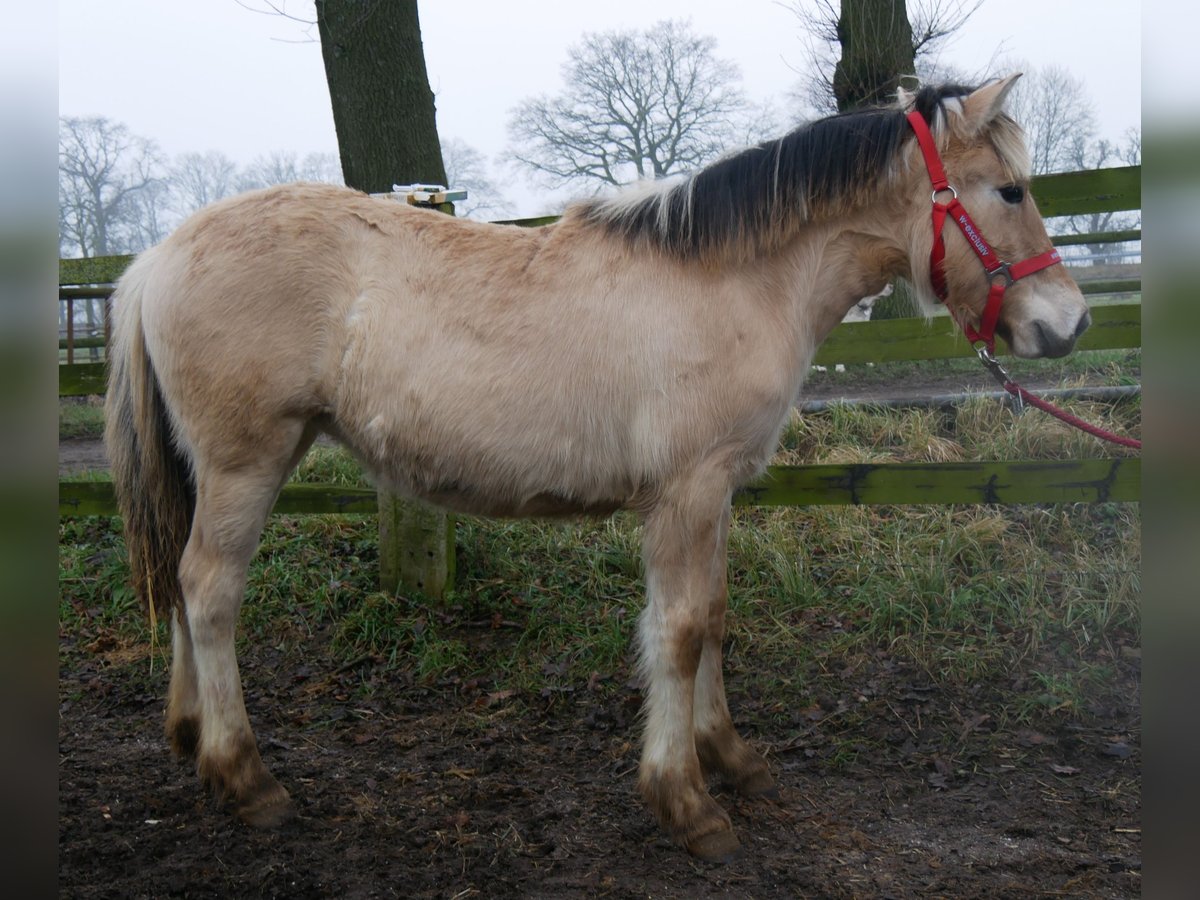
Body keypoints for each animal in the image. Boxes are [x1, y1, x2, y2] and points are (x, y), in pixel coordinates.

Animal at [108, 74, 1089, 864]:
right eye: (1010, 189)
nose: (1068, 323)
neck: (730, 281)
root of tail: (158, 256)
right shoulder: (686, 494)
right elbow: (680, 632)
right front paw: (686, 801)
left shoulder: (717, 494)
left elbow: (714, 618)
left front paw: (731, 759)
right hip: (247, 463)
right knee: (209, 592)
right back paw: (246, 778)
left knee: (186, 587)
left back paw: (191, 737)